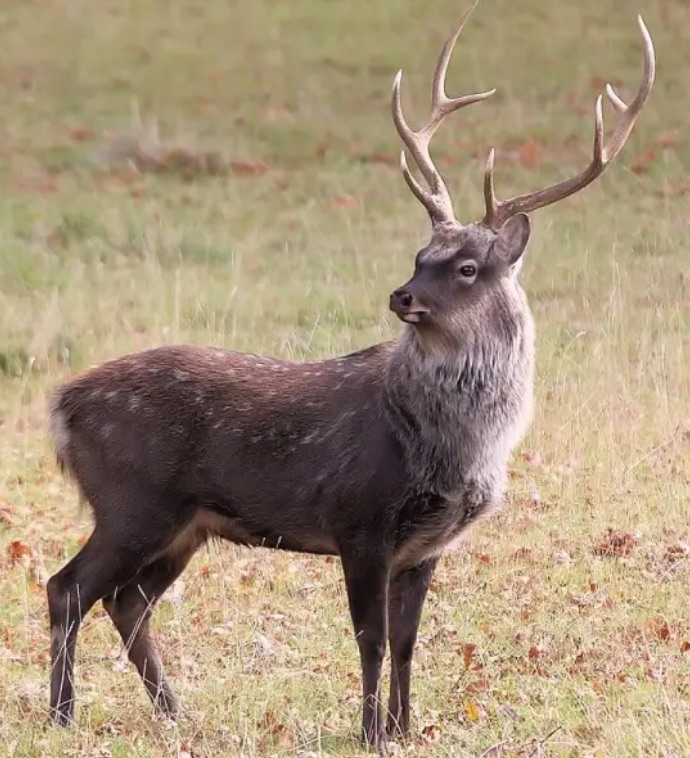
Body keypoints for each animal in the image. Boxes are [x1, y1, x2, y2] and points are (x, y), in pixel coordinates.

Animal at [46, 5, 654, 750]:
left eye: (466, 267)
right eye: (420, 254)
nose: (402, 295)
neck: (452, 449)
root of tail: (61, 404)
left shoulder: (425, 546)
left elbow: (408, 641)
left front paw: (406, 727)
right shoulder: (359, 518)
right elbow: (370, 638)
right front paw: (370, 733)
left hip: (183, 522)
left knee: (126, 601)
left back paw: (175, 712)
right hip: (131, 498)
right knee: (69, 588)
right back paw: (63, 714)